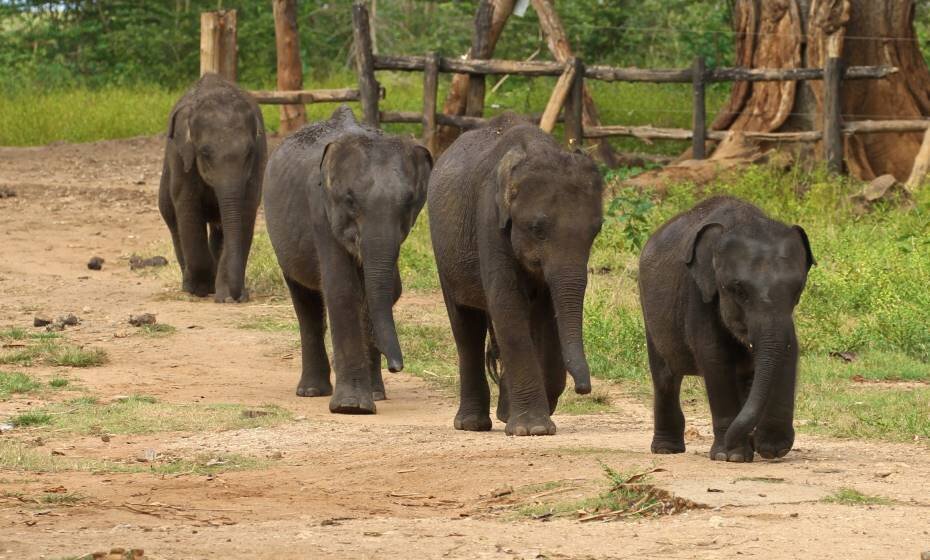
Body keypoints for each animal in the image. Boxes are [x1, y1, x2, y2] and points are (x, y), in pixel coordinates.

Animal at [158, 74, 262, 304]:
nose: (238, 295)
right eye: (204, 153)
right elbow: (187, 208)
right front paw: (201, 289)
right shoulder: (180, 158)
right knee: (173, 221)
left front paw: (228, 297)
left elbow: (246, 211)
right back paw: (189, 284)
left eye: (249, 153)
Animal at [260, 106, 432, 412]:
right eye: (350, 200)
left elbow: (382, 291)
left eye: (409, 202)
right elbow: (342, 289)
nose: (396, 367)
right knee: (305, 302)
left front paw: (367, 398)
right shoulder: (320, 210)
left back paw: (375, 393)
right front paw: (352, 407)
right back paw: (311, 391)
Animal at [426, 115, 600, 438]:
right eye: (537, 228)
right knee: (465, 326)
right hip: (444, 252)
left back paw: (504, 413)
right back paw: (472, 424)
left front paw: (528, 419)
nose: (584, 389)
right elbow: (506, 304)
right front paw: (533, 429)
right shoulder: (488, 219)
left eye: (596, 231)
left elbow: (548, 312)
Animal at [640, 197, 812, 464]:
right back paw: (666, 450)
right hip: (649, 311)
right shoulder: (698, 294)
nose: (771, 449)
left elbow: (787, 350)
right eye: (738, 290)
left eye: (798, 289)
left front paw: (769, 449)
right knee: (665, 377)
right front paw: (730, 455)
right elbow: (714, 357)